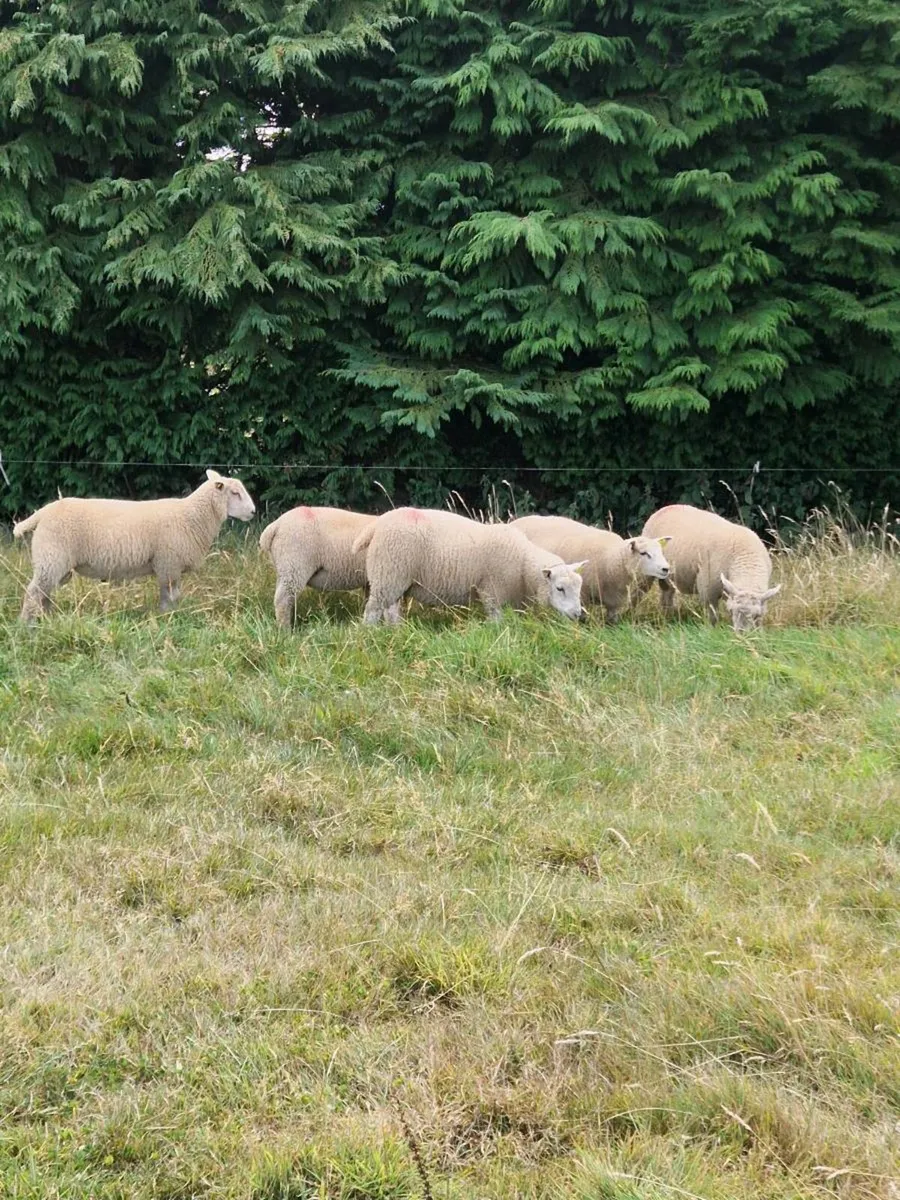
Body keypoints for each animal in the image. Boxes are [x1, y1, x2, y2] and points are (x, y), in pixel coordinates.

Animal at [13, 469, 255, 621]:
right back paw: (27, 626)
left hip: (55, 564)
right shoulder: (168, 564)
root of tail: (43, 512)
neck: (192, 516)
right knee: (33, 593)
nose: (253, 512)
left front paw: (171, 615)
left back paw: (47, 620)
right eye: (235, 493)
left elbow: (175, 596)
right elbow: (168, 597)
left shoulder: (170, 567)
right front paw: (167, 618)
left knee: (43, 594)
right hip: (51, 558)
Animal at [352, 506, 588, 624]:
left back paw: (395, 631)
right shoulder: (492, 590)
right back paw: (370, 635)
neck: (523, 564)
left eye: (579, 588)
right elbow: (496, 619)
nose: (578, 614)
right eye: (559, 588)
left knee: (390, 610)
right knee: (372, 611)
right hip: (388, 572)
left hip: (396, 578)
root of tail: (378, 523)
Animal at [511, 514, 672, 623]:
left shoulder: (614, 603)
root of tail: (516, 520)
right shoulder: (582, 598)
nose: (666, 569)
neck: (611, 559)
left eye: (661, 551)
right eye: (644, 553)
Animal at [641, 504, 780, 630]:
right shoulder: (707, 590)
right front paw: (711, 632)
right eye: (731, 611)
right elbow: (712, 616)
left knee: (667, 593)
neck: (746, 559)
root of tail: (667, 507)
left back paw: (668, 616)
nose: (742, 635)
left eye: (757, 615)